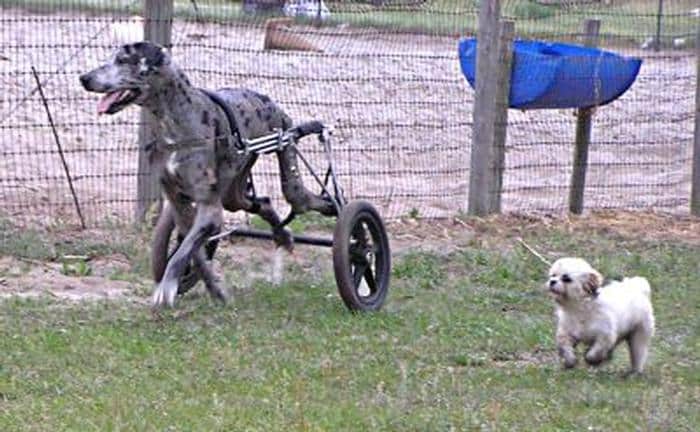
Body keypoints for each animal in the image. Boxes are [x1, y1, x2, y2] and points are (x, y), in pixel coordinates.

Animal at [81, 42, 334, 308]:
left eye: (122, 60)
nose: (84, 78)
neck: (175, 124)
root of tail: (271, 103)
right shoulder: (182, 210)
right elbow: (196, 255)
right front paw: (214, 290)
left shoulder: (210, 210)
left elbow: (182, 252)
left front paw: (168, 287)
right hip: (234, 195)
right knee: (263, 202)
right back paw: (282, 235)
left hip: (289, 175)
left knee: (305, 199)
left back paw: (336, 211)